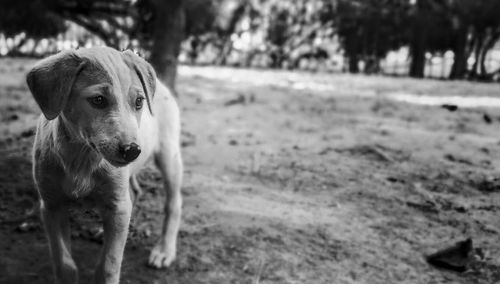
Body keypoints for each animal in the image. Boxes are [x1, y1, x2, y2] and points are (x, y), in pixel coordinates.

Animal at [26, 47, 184, 284]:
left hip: (169, 156)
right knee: (134, 194)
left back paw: (164, 250)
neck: (82, 158)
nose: (132, 150)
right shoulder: (52, 206)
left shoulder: (117, 205)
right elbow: (64, 263)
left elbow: (108, 264)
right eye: (98, 100)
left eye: (139, 102)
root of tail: (163, 86)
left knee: (173, 203)